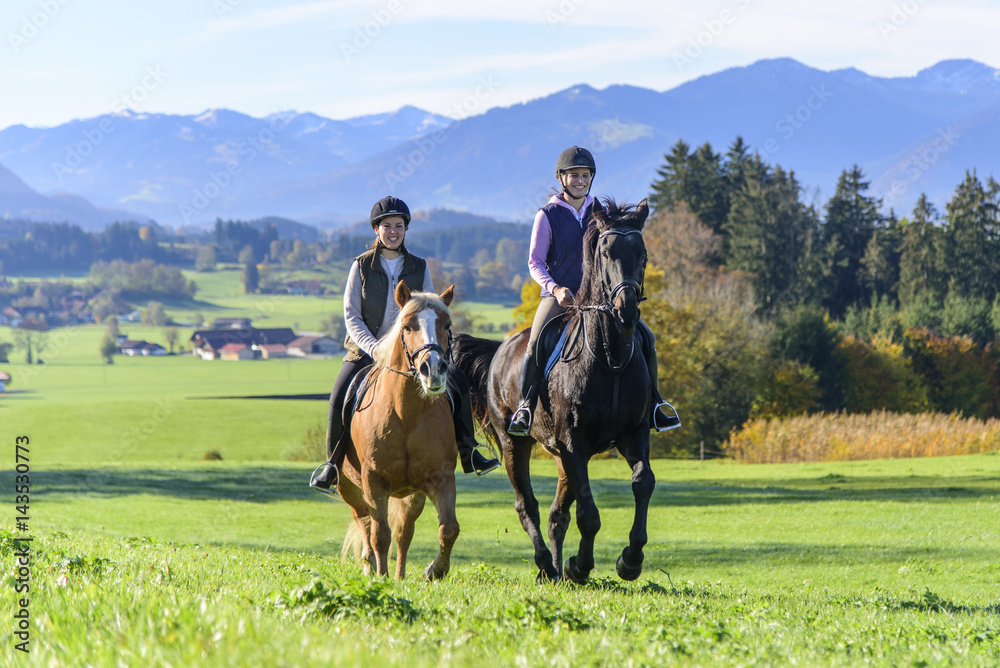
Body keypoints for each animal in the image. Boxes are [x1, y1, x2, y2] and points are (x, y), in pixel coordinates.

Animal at [338, 280, 458, 580]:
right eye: (407, 326)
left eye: (447, 324)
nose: (433, 370)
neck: (406, 414)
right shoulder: (373, 481)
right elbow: (380, 534)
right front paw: (381, 576)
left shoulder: (440, 478)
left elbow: (448, 529)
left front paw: (435, 571)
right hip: (348, 487)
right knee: (364, 521)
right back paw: (371, 566)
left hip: (411, 494)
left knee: (404, 532)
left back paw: (400, 576)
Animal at [454, 200, 656, 584]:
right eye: (605, 253)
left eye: (642, 254)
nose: (626, 311)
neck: (611, 356)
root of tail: (499, 350)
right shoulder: (574, 442)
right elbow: (589, 515)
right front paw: (582, 565)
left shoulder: (632, 434)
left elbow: (643, 483)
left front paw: (630, 559)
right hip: (514, 443)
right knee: (527, 504)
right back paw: (547, 565)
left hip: (560, 454)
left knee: (556, 513)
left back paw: (559, 569)